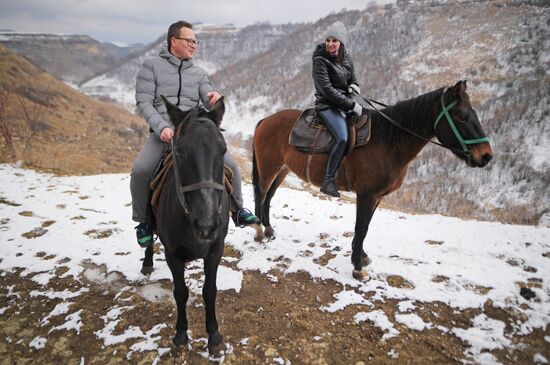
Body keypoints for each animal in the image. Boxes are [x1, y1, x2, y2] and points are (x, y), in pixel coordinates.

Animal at [151, 96, 229, 350]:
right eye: (180, 151)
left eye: (223, 150)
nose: (207, 225)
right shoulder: (172, 255)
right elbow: (180, 293)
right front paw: (180, 335)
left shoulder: (215, 250)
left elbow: (210, 291)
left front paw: (214, 335)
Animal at [252, 80, 494, 278]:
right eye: (461, 116)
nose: (486, 155)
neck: (387, 142)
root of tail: (265, 120)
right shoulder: (366, 194)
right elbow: (360, 227)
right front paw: (358, 268)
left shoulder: (378, 196)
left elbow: (366, 227)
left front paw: (361, 257)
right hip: (268, 168)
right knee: (260, 194)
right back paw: (259, 233)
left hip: (282, 169)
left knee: (269, 196)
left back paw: (269, 229)